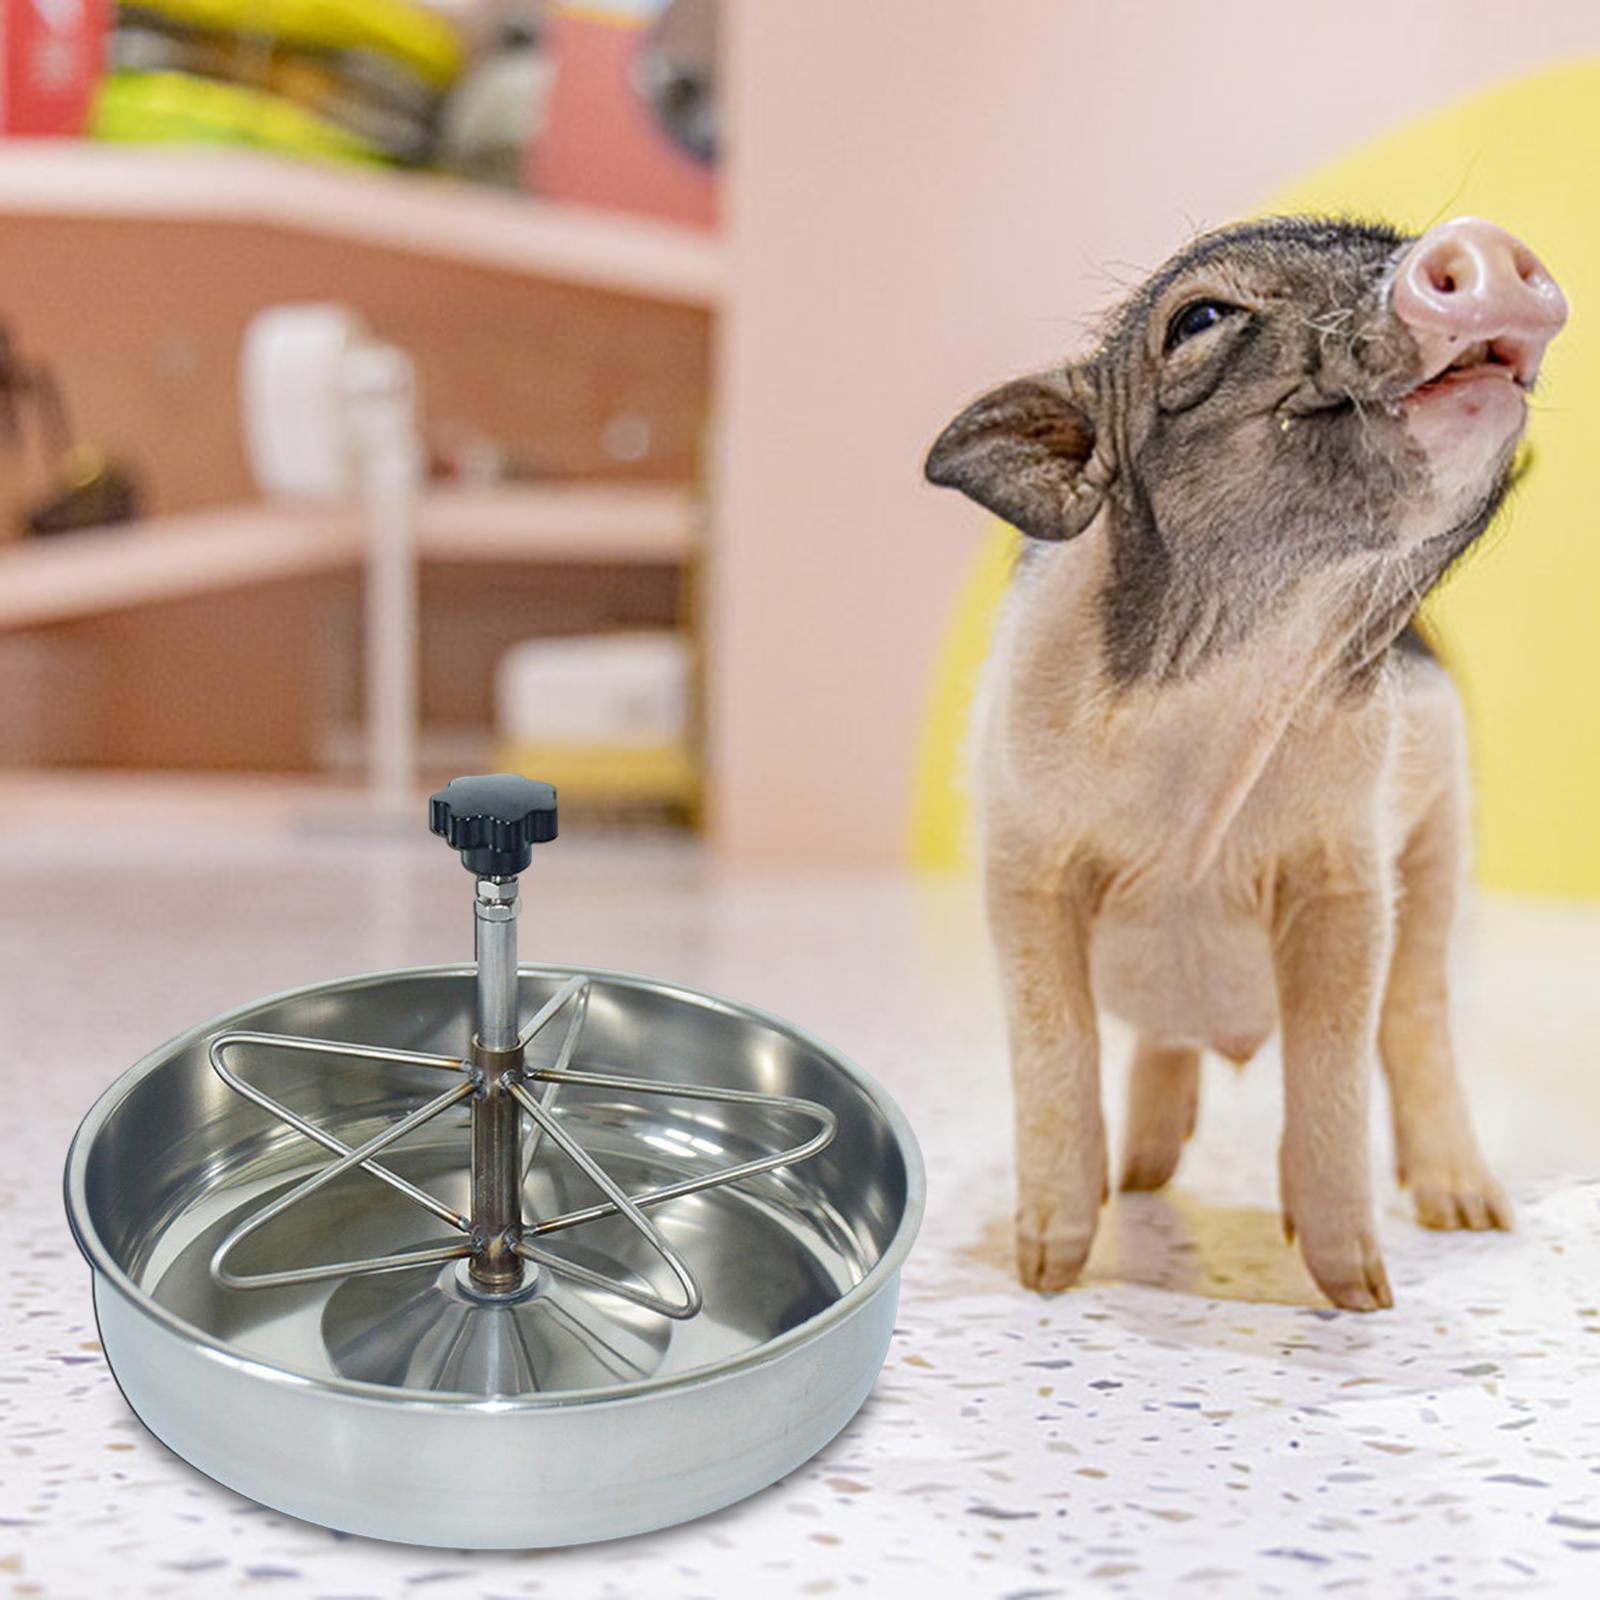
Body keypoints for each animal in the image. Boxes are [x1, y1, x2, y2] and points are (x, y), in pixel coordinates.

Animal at [924, 215, 1567, 1310]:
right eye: (1199, 319)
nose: (1479, 238)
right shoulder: (1023, 862)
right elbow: (1053, 1046)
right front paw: (1047, 1272)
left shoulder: (1347, 875)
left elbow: (1332, 1061)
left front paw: (1362, 1295)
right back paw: (1141, 1177)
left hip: (1445, 846)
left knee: (1417, 1017)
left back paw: (1470, 1214)